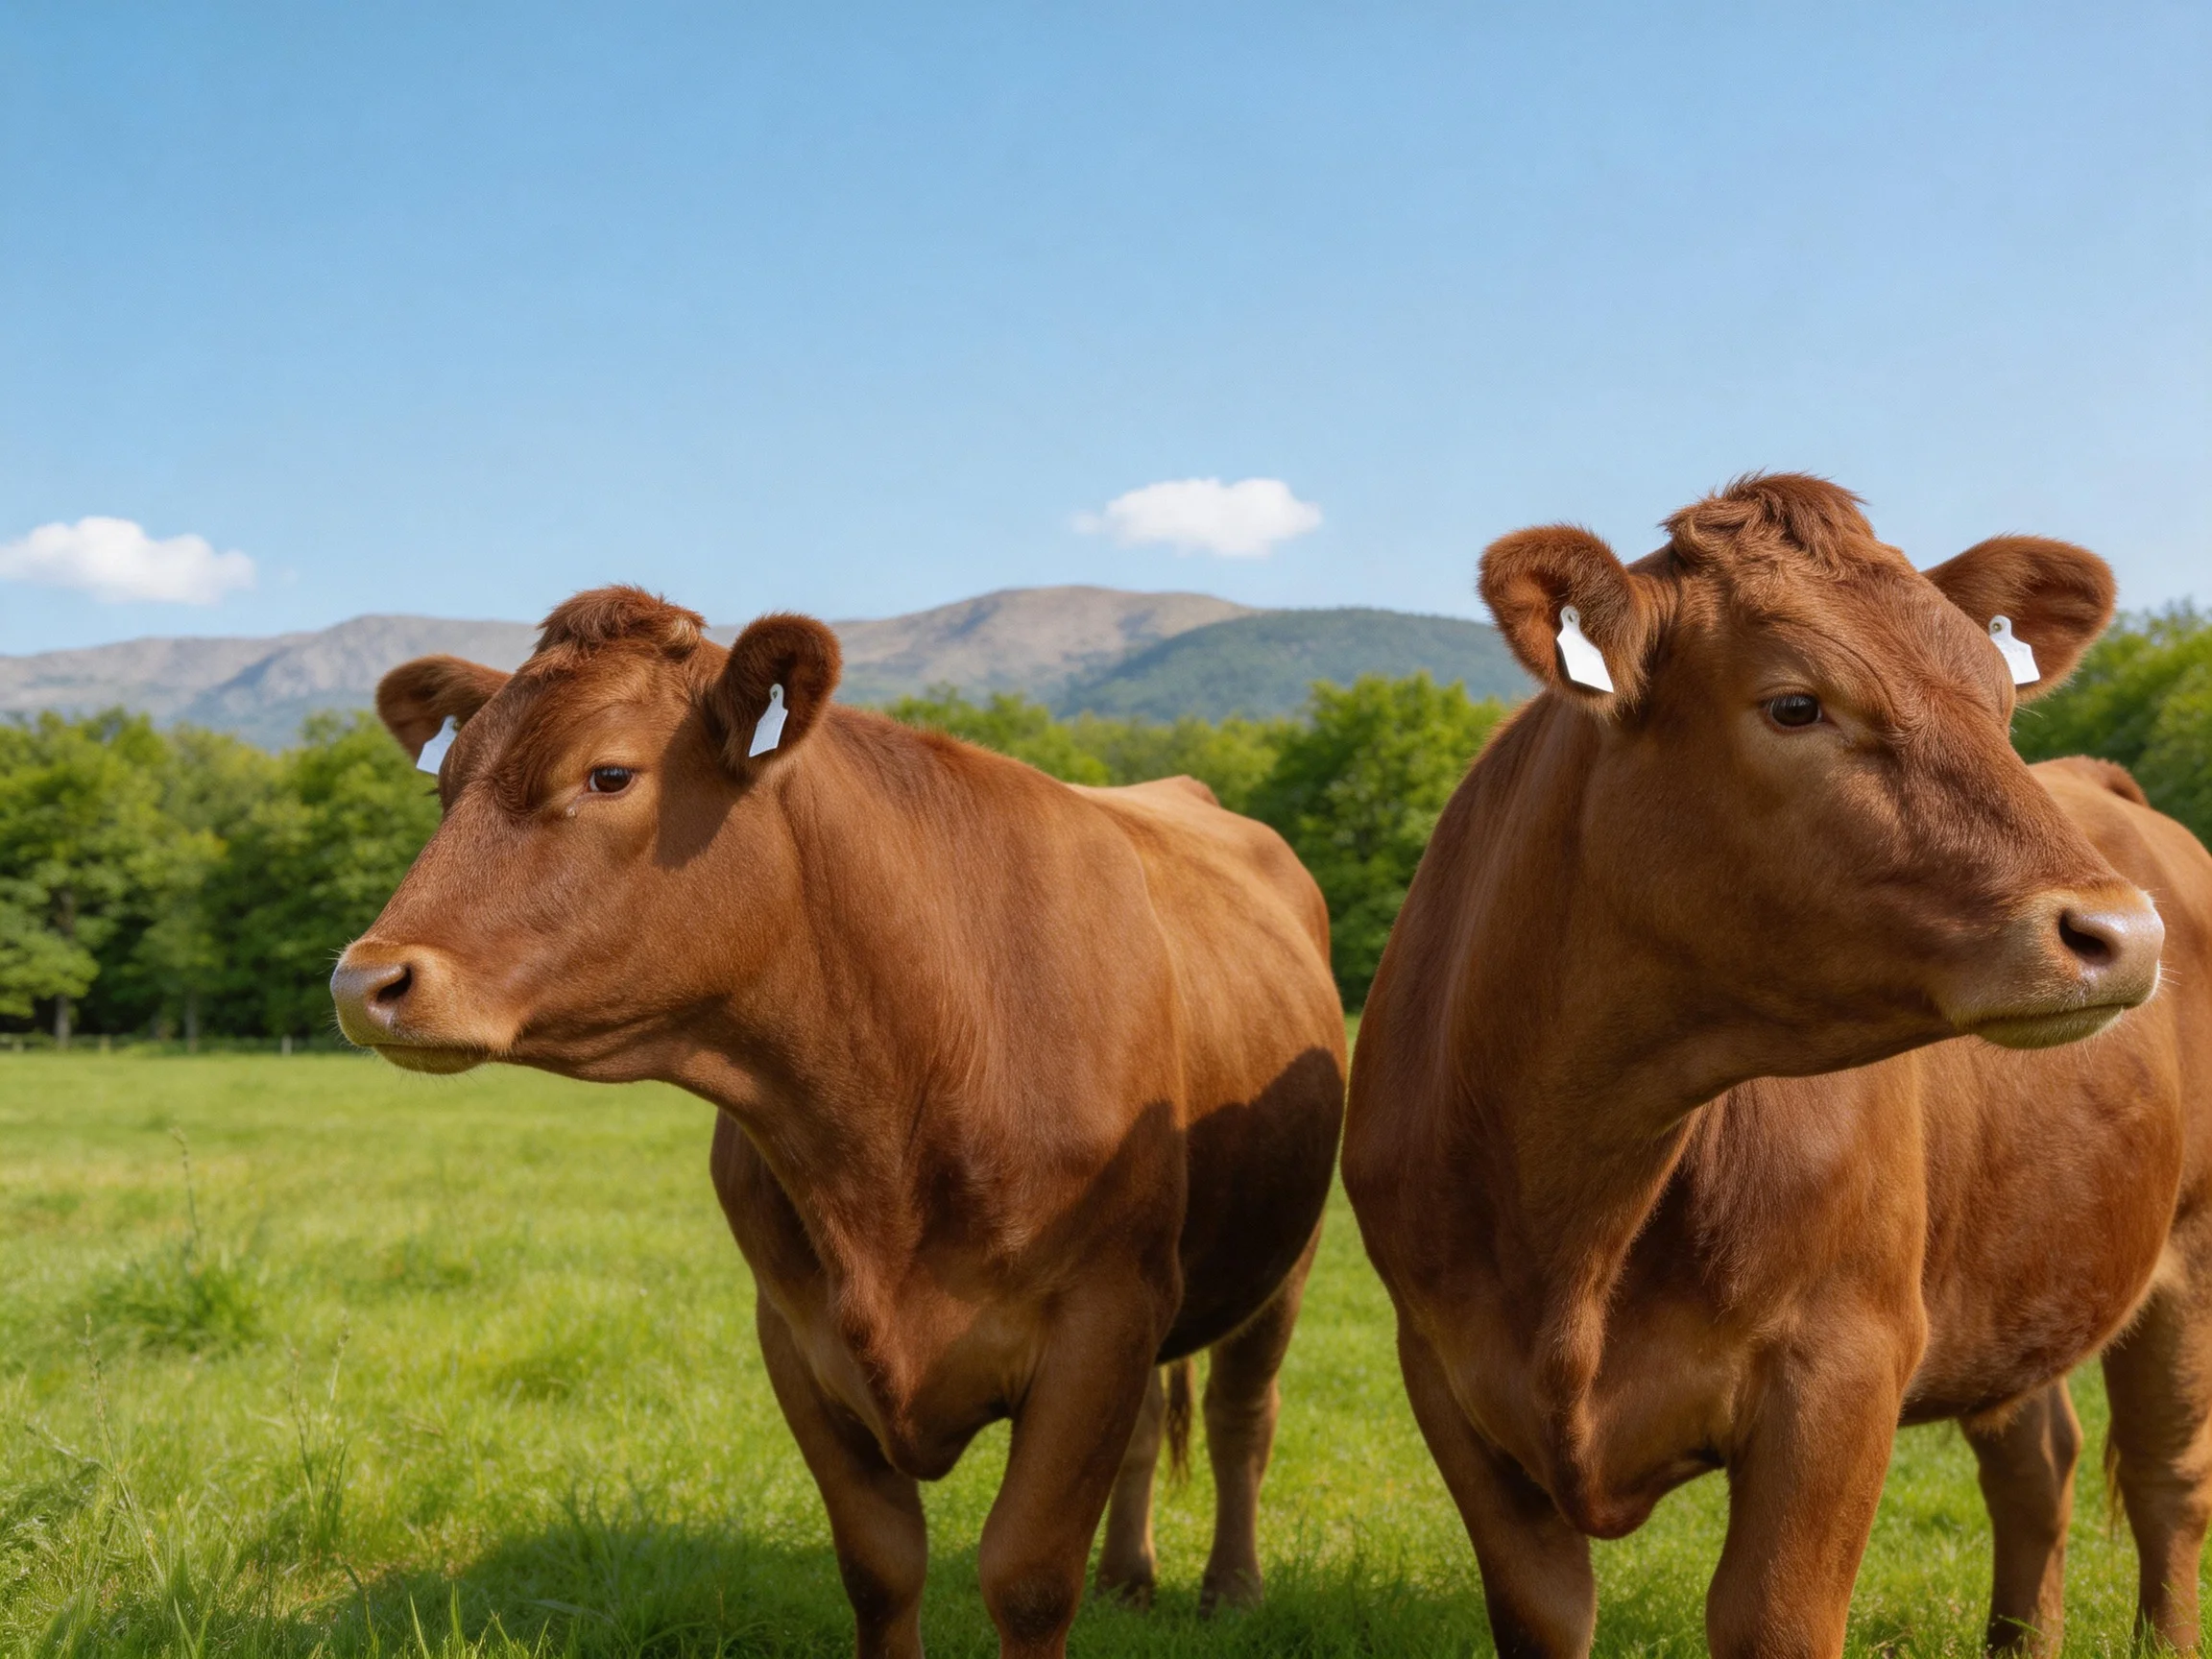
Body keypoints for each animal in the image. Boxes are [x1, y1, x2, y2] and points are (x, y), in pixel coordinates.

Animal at [328, 587, 1346, 1659]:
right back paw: (1128, 1580)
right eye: (446, 789)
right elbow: (880, 1566)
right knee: (1155, 1424)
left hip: (1288, 1254)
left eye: (608, 774)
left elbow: (1027, 1576)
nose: (365, 981)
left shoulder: (1101, 1314)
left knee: (1242, 1415)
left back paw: (1231, 1587)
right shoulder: (797, 1333)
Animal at [1342, 475, 2210, 1657]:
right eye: (1796, 705)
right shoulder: (1444, 1371)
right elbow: (1545, 1613)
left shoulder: (1844, 1362)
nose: (2120, 931)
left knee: (2169, 1481)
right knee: (2036, 1463)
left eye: (2001, 701)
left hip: (2191, 1252)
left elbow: (1774, 1617)